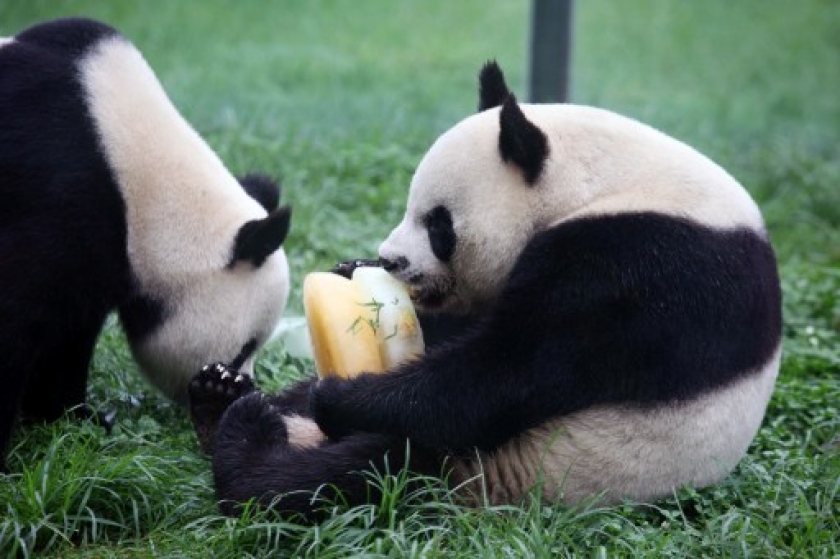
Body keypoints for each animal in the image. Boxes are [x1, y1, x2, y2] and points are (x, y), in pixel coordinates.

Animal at [0, 17, 290, 470]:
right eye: (244, 348)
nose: (244, 391)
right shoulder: (57, 197)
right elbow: (16, 317)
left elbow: (67, 334)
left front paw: (76, 418)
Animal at [190, 59, 780, 520]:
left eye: (439, 225)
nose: (390, 259)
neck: (606, 181)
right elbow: (467, 333)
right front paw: (348, 270)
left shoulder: (641, 269)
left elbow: (504, 371)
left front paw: (340, 395)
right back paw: (220, 396)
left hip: (527, 464)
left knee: (368, 472)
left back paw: (250, 439)